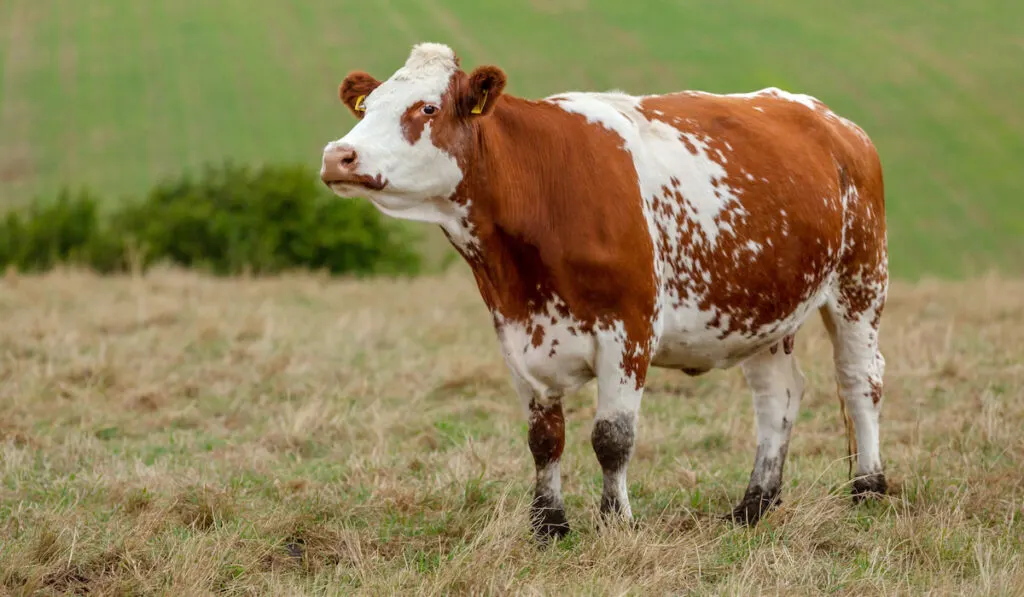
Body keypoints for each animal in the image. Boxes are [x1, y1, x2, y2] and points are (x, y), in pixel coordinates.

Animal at [319, 39, 888, 540]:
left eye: (428, 107)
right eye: (367, 107)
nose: (337, 155)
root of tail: (835, 122)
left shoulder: (628, 331)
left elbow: (612, 438)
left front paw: (616, 523)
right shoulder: (516, 334)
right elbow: (544, 439)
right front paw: (548, 526)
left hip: (861, 285)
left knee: (860, 381)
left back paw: (869, 488)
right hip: (762, 310)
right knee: (779, 396)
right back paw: (754, 505)